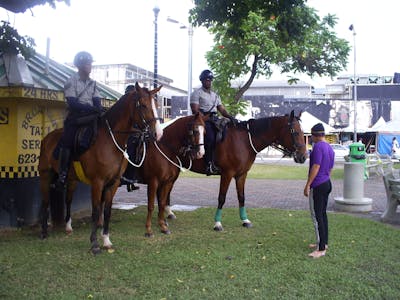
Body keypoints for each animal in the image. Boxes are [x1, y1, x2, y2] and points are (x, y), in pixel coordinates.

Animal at [37, 82, 162, 253]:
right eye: (143, 105)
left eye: (156, 105)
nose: (157, 134)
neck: (110, 140)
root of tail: (47, 138)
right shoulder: (97, 182)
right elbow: (96, 211)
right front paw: (94, 243)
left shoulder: (113, 183)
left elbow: (107, 211)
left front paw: (106, 240)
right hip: (45, 175)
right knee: (45, 201)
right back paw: (43, 231)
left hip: (70, 178)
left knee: (67, 199)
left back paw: (66, 226)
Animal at [166, 110, 306, 230]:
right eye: (295, 132)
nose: (303, 156)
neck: (244, 141)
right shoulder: (227, 174)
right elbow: (222, 198)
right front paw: (217, 223)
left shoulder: (242, 175)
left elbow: (241, 197)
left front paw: (245, 220)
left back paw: (169, 212)